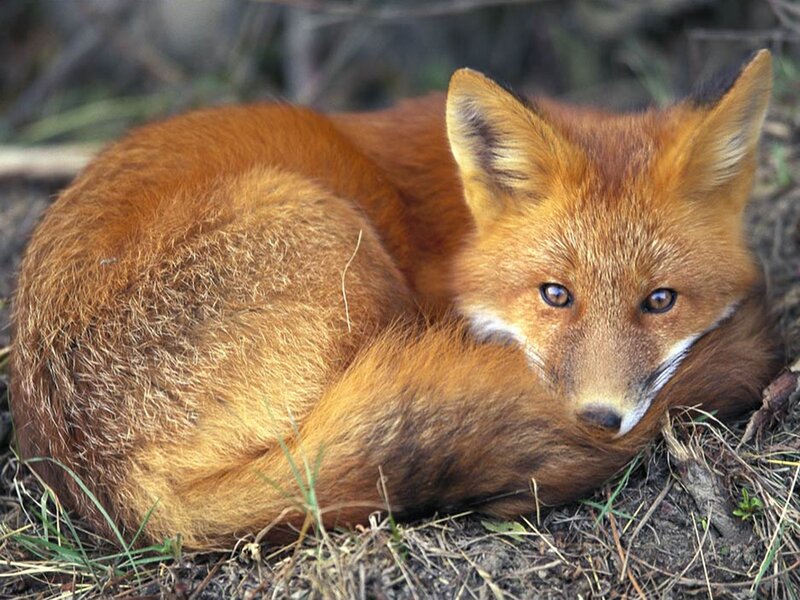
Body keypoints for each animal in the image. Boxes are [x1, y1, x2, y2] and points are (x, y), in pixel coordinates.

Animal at [11, 50, 782, 549]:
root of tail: (116, 489)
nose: (600, 419)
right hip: (335, 235)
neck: (458, 228)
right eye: (555, 295)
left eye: (661, 300)